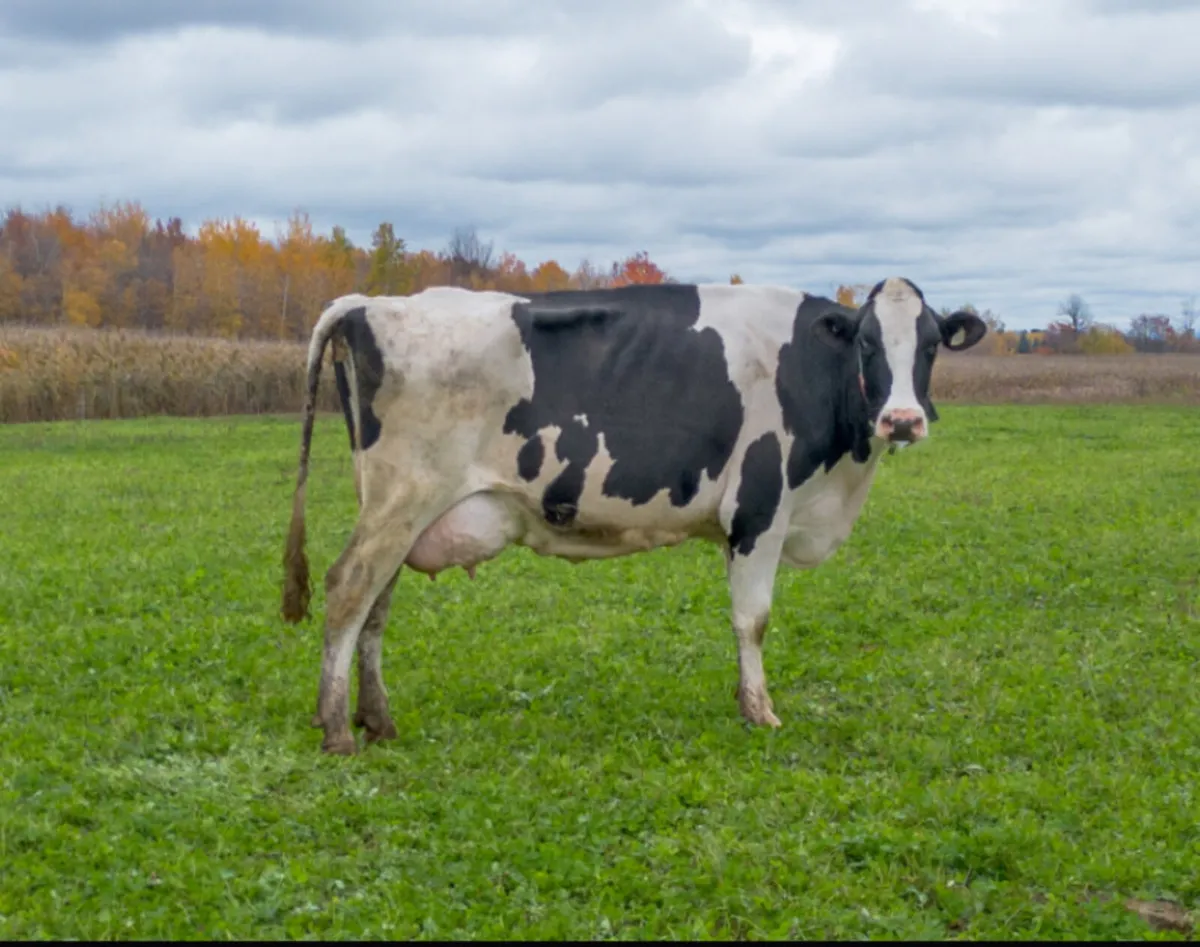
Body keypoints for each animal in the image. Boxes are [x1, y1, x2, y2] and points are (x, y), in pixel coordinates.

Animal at [280, 277, 987, 754]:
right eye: (867, 342)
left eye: (930, 346)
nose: (903, 419)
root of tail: (371, 303)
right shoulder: (760, 508)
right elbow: (753, 619)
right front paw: (759, 711)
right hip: (405, 496)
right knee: (349, 590)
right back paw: (338, 729)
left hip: (396, 506)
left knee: (374, 607)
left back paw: (377, 720)